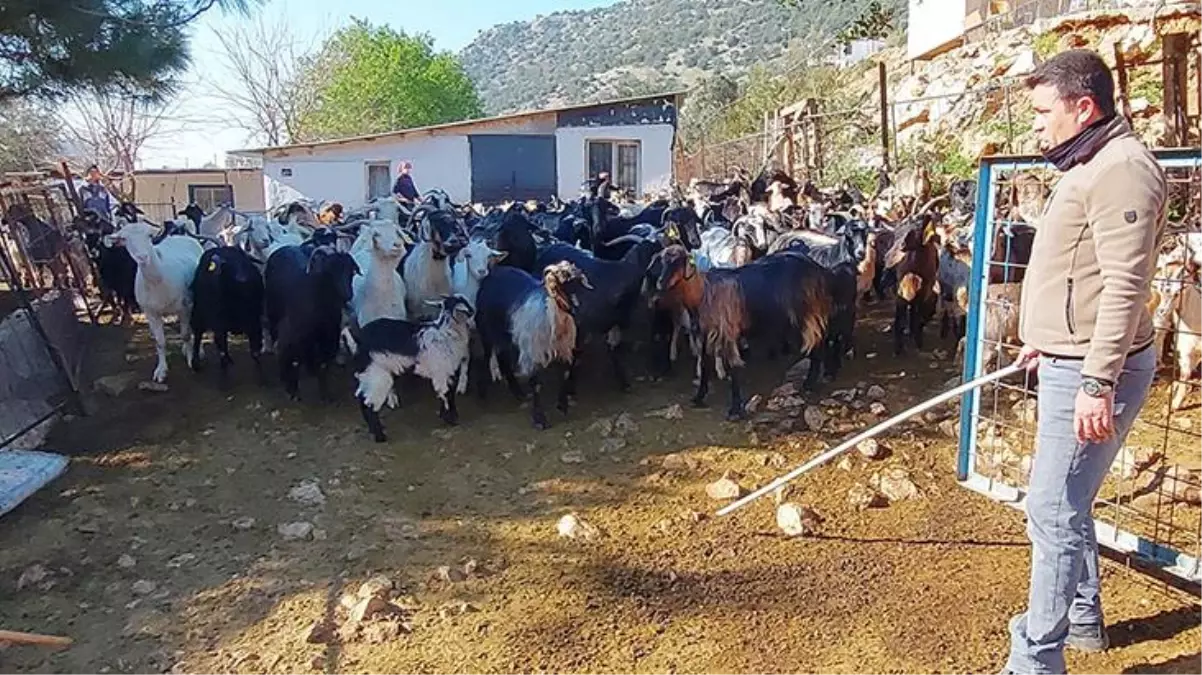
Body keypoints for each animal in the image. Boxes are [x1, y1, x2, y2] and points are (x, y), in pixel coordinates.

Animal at [112, 218, 204, 381]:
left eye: (149, 235)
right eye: (124, 239)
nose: (142, 257)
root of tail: (179, 236)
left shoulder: (185, 306)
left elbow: (186, 335)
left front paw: (191, 358)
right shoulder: (150, 312)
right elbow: (159, 342)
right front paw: (161, 370)